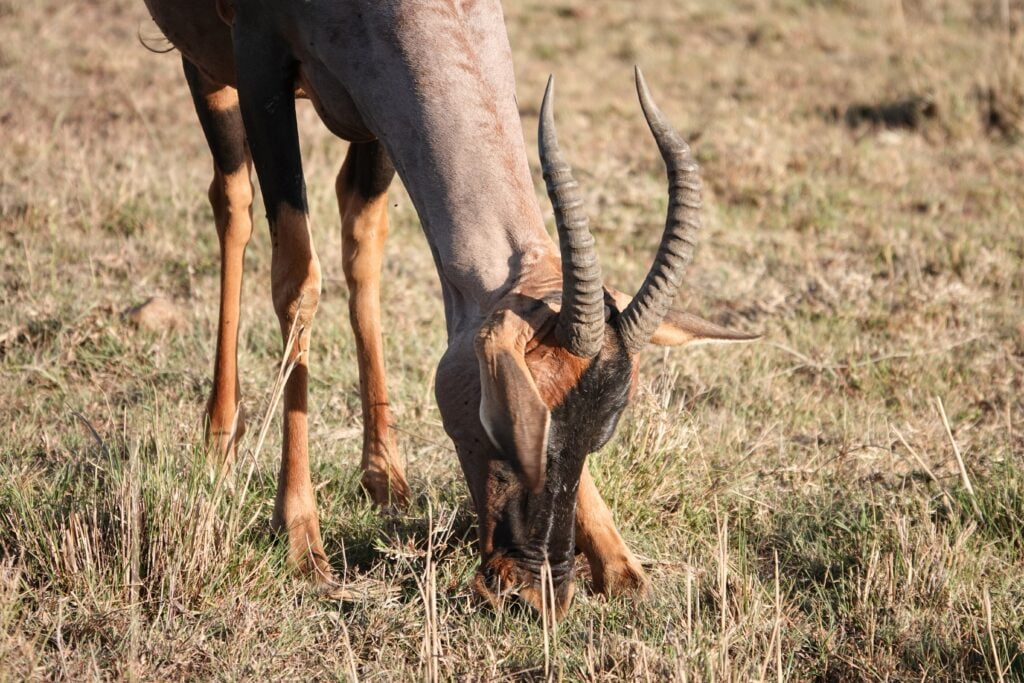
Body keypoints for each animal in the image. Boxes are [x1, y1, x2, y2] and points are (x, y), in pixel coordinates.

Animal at [142, 0, 753, 618]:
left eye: (601, 432)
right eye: (501, 420)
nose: (532, 593)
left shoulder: (377, 111)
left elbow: (365, 240)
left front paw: (620, 563)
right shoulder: (259, 61)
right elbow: (297, 281)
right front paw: (300, 541)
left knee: (353, 234)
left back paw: (384, 476)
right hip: (210, 68)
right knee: (233, 200)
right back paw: (220, 441)